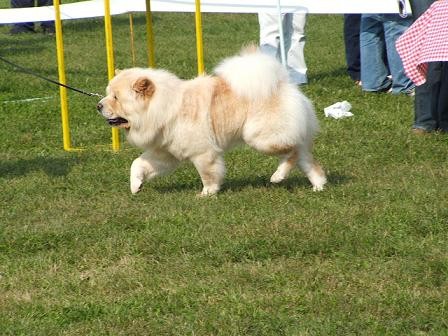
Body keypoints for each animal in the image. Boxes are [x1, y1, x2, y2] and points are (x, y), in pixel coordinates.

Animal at [96, 46, 326, 196]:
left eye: (116, 98)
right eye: (107, 94)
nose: (98, 105)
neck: (165, 107)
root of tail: (282, 84)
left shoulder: (203, 152)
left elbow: (208, 174)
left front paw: (207, 193)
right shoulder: (165, 153)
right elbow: (138, 164)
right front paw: (136, 186)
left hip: (260, 137)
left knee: (292, 152)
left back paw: (278, 176)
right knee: (308, 162)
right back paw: (318, 187)